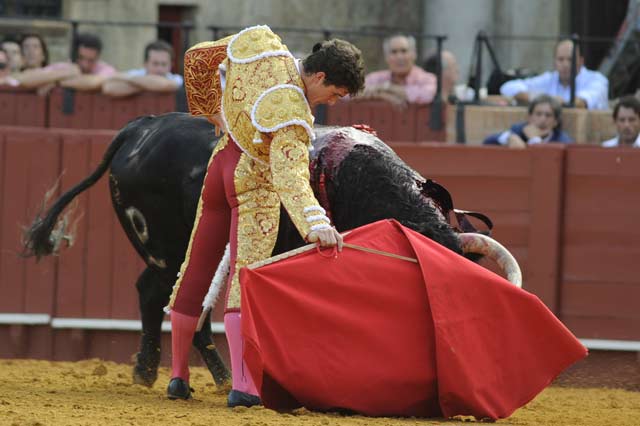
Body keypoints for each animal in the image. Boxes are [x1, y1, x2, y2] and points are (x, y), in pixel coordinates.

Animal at [23, 112, 484, 390]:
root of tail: (139, 128)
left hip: (169, 251)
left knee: (154, 293)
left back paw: (153, 370)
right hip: (172, 247)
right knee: (172, 298)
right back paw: (208, 375)